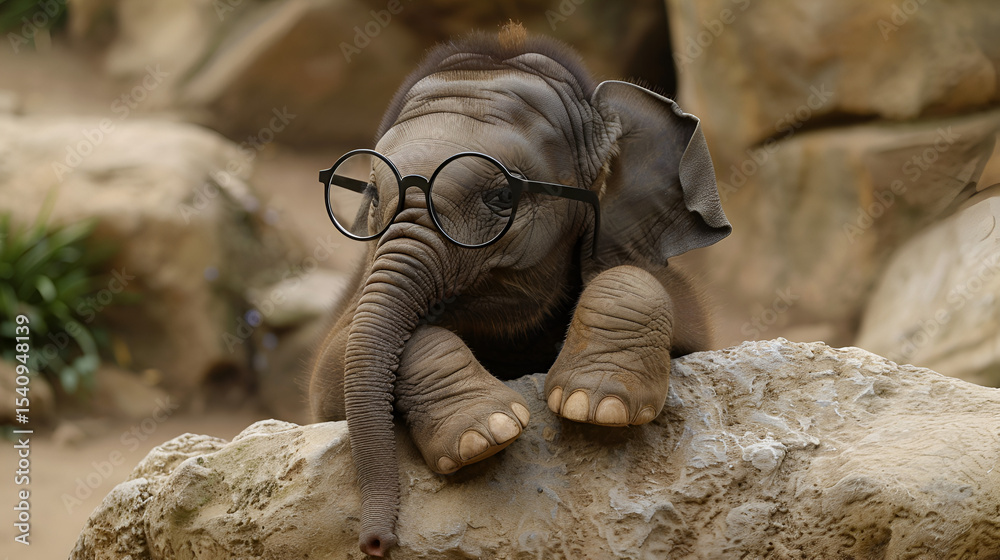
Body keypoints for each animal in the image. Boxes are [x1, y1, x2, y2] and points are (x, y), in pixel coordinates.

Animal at [308, 23, 731, 557]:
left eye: (501, 196)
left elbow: (661, 295)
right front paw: (484, 436)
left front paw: (598, 407)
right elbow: (333, 369)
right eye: (369, 193)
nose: (376, 543)